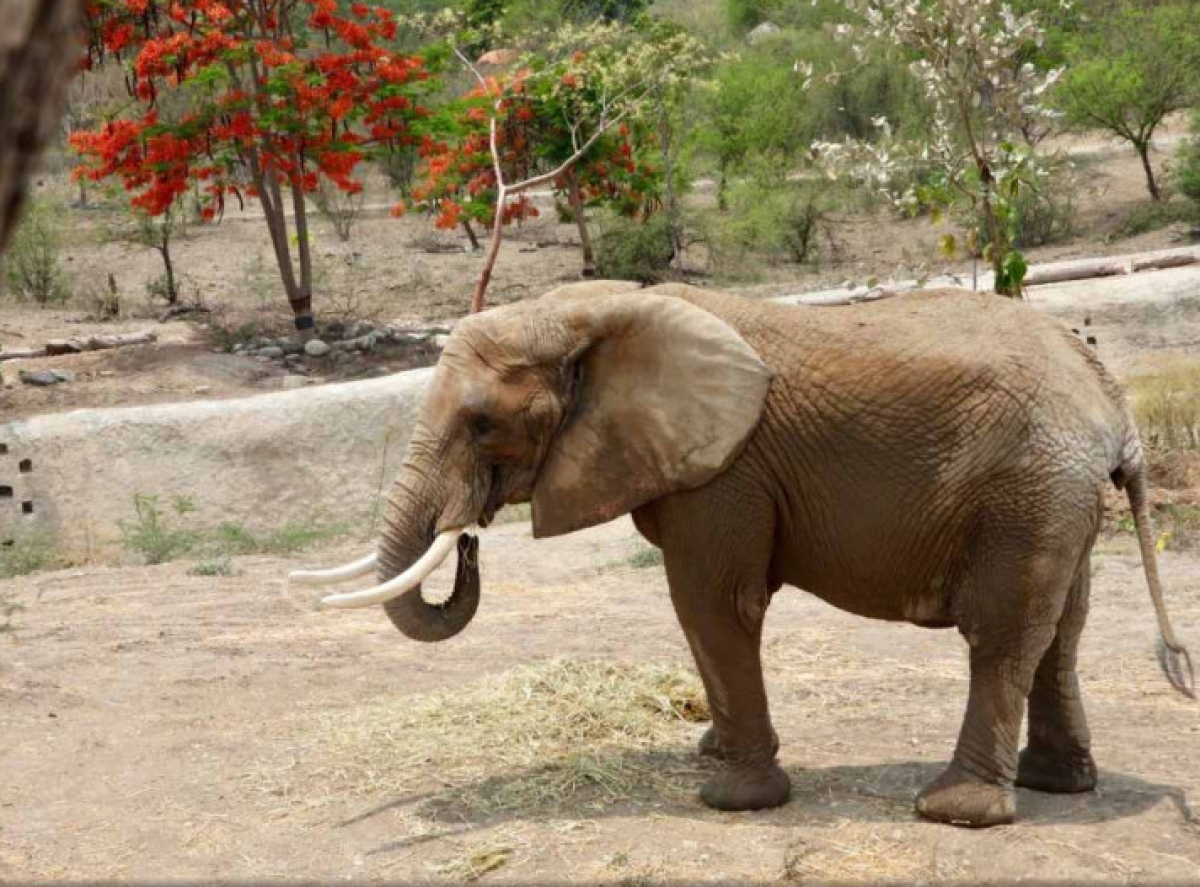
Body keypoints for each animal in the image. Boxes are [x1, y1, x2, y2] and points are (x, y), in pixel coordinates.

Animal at [291, 280, 1194, 828]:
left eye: (482, 424)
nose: (471, 535)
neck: (602, 309)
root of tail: (1113, 402)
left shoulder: (726, 472)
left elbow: (712, 602)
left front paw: (729, 798)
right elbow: (706, 614)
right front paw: (711, 754)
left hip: (1027, 492)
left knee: (1001, 634)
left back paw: (952, 810)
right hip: (1058, 497)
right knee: (1060, 632)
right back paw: (1056, 784)